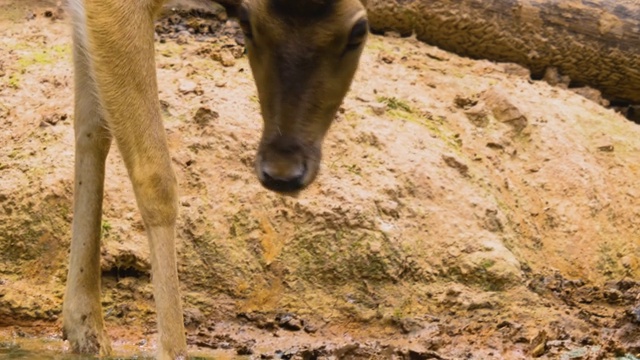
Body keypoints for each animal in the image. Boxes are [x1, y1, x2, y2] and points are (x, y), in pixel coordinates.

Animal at [62, 0, 368, 358]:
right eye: (246, 22)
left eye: (359, 32)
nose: (283, 173)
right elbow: (155, 178)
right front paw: (172, 350)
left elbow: (92, 126)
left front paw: (85, 331)